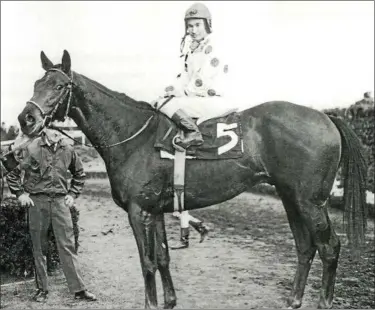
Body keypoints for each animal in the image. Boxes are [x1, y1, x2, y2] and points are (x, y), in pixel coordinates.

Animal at [15, 49, 368, 308]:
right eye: (35, 84)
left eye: (59, 86)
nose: (26, 118)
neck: (133, 136)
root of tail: (326, 117)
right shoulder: (155, 210)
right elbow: (163, 257)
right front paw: (170, 301)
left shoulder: (137, 212)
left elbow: (147, 261)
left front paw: (152, 304)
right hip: (290, 197)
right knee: (306, 247)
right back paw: (294, 300)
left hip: (311, 201)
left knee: (330, 247)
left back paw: (322, 302)